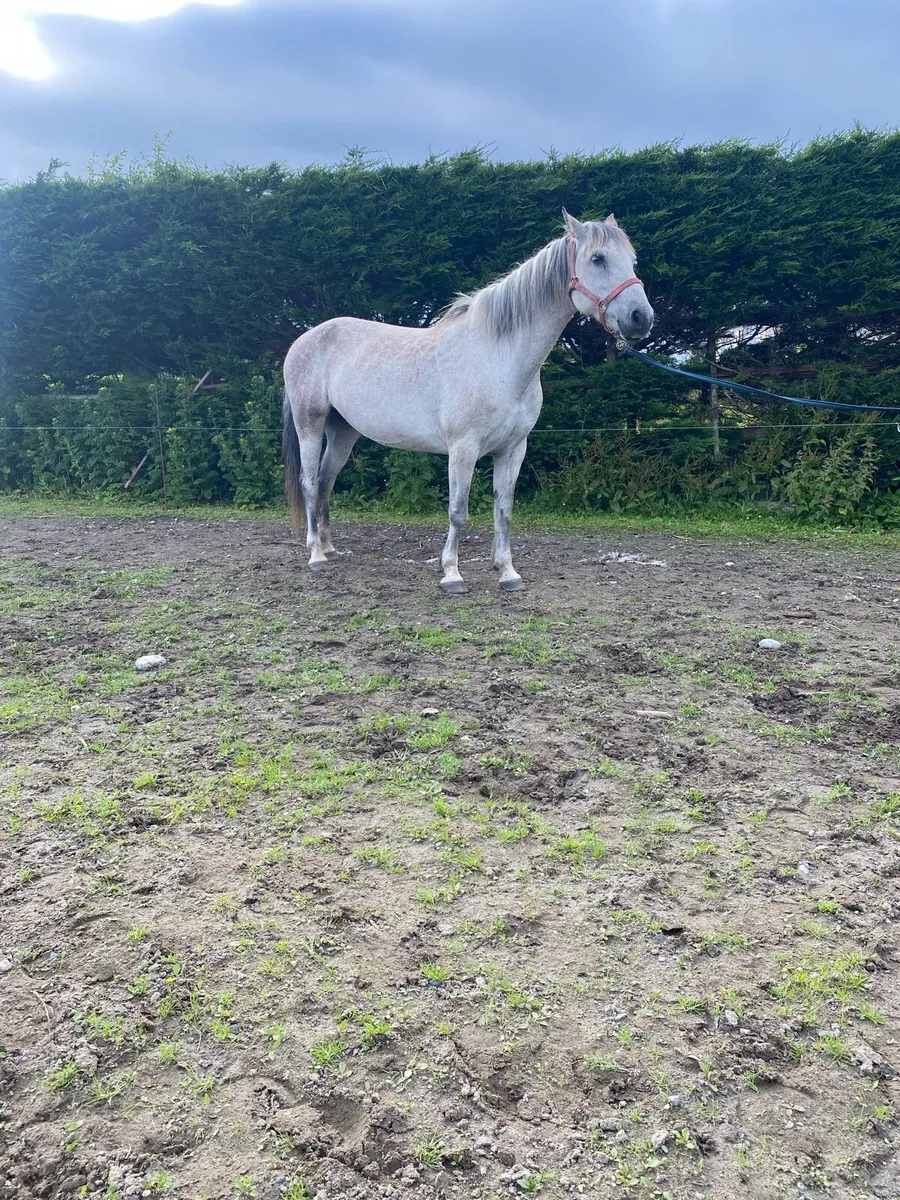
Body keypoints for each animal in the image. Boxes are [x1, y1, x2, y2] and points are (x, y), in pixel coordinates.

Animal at [282, 210, 653, 593]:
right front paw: (452, 574)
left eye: (632, 260)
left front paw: (508, 573)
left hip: (343, 432)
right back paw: (316, 555)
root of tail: (303, 340)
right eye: (598, 258)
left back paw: (329, 547)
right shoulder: (463, 448)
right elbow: (458, 511)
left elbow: (504, 510)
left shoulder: (513, 449)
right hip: (310, 424)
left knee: (326, 481)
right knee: (310, 482)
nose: (641, 318)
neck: (499, 358)